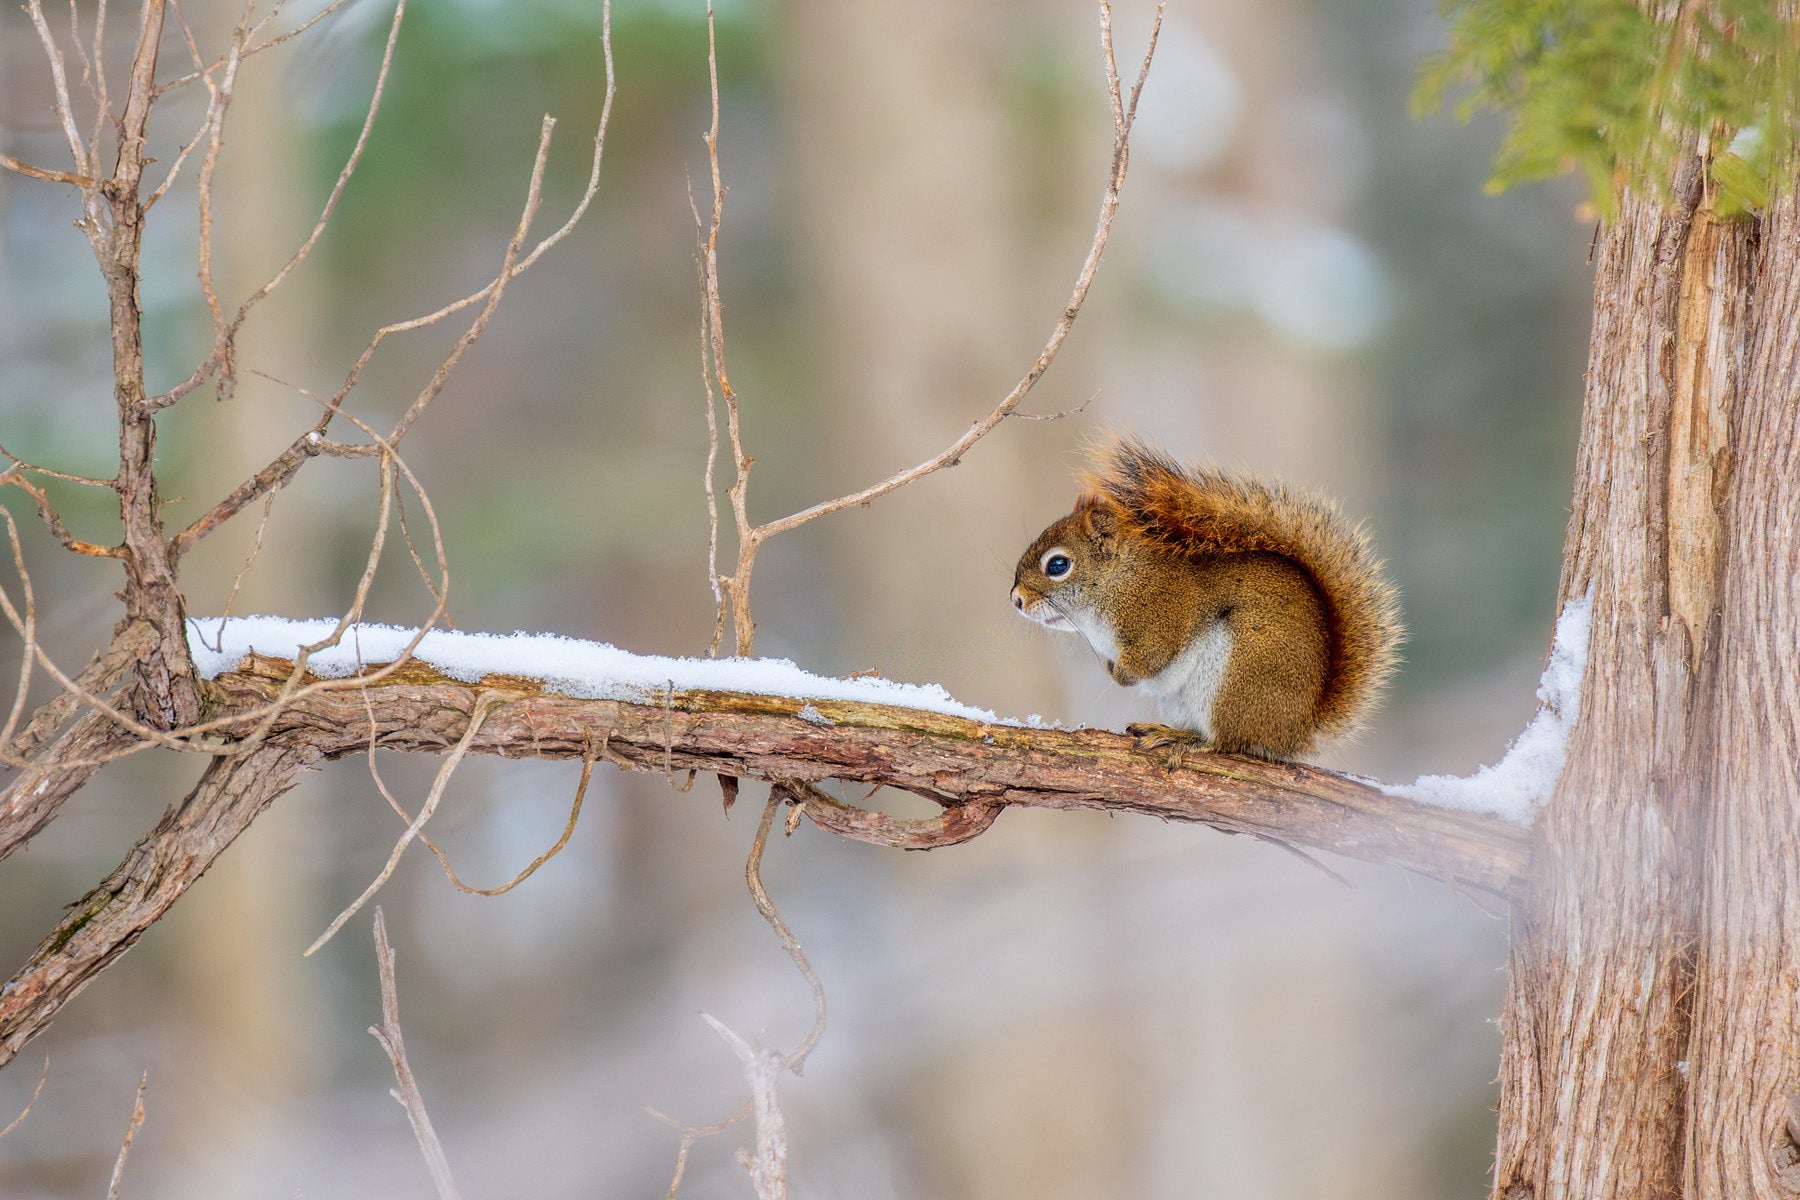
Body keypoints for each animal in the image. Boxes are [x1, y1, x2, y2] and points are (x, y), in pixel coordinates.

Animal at [1010, 438, 1403, 761]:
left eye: (1058, 565)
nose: (1016, 600)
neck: (1119, 581)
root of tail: (1294, 731)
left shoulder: (1159, 614)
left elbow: (1149, 658)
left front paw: (1119, 673)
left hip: (1238, 678)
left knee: (1226, 742)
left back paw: (1184, 740)